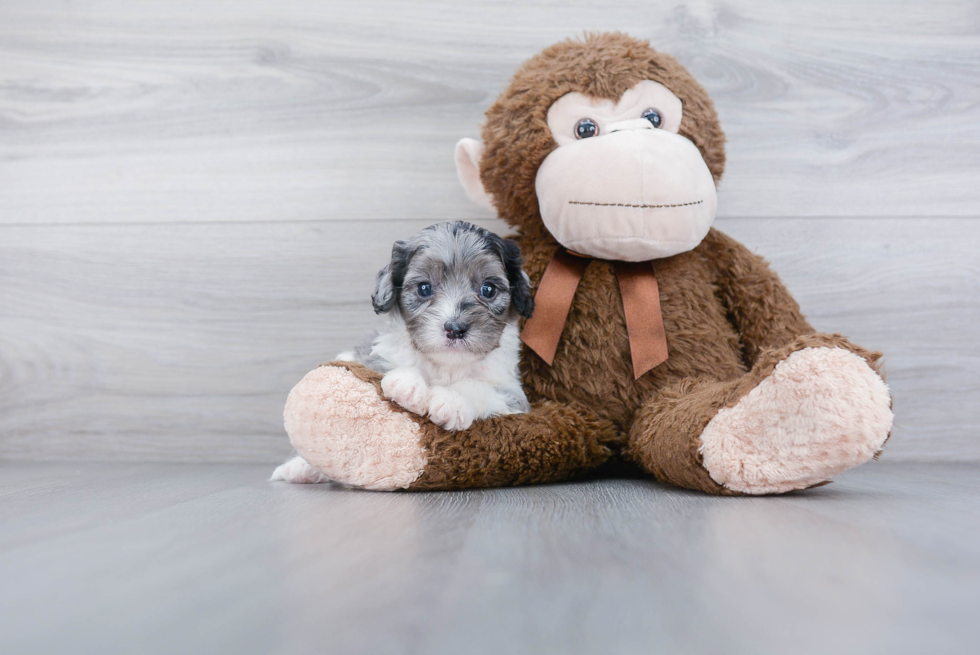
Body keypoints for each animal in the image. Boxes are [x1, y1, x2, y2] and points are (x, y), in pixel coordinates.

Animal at [272, 223, 536, 484]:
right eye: (424, 288)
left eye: (488, 289)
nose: (455, 328)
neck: (446, 365)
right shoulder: (375, 355)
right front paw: (408, 385)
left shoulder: (514, 396)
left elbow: (476, 386)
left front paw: (451, 400)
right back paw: (299, 468)